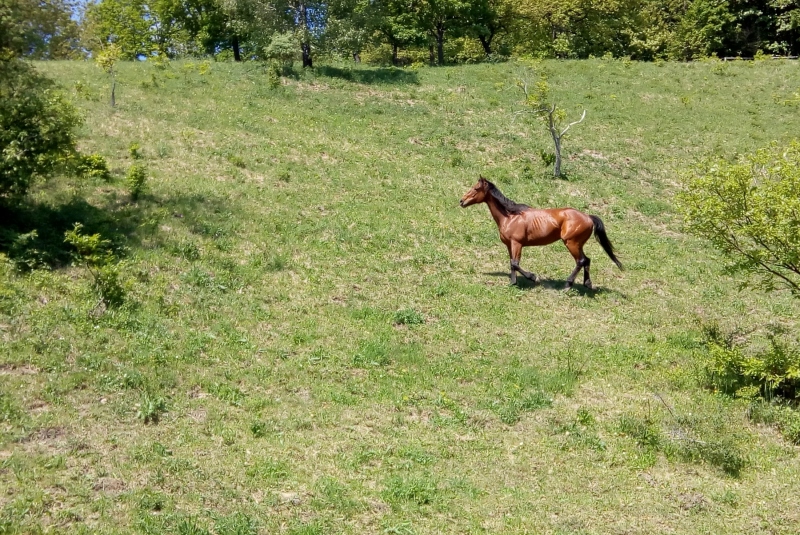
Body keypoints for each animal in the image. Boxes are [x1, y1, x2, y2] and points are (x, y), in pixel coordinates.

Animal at [460, 176, 620, 288]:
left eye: (476, 188)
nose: (461, 201)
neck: (510, 217)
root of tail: (588, 217)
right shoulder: (510, 245)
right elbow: (512, 263)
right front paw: (513, 282)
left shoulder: (517, 244)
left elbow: (516, 263)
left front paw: (532, 277)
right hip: (577, 244)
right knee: (587, 260)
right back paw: (587, 284)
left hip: (571, 243)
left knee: (580, 261)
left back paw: (567, 284)